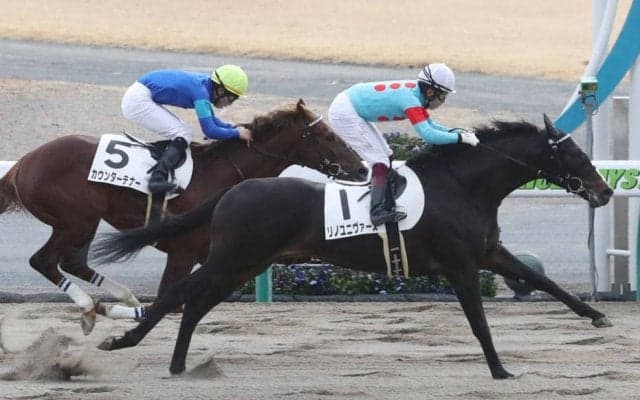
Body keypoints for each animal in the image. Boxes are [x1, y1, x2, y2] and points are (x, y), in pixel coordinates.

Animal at [0, 99, 367, 335]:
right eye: (329, 136)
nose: (362, 167)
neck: (222, 173)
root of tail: (23, 164)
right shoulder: (183, 252)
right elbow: (166, 302)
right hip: (76, 220)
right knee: (45, 260)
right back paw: (91, 305)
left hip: (84, 221)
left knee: (74, 262)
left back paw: (111, 300)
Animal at [91, 115, 613, 378]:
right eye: (573, 154)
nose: (605, 191)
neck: (464, 187)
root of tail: (235, 190)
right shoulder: (461, 265)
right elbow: (480, 323)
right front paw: (501, 370)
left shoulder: (488, 254)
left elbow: (543, 280)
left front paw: (596, 315)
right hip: (233, 256)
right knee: (181, 295)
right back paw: (126, 341)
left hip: (246, 264)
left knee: (195, 302)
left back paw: (180, 364)